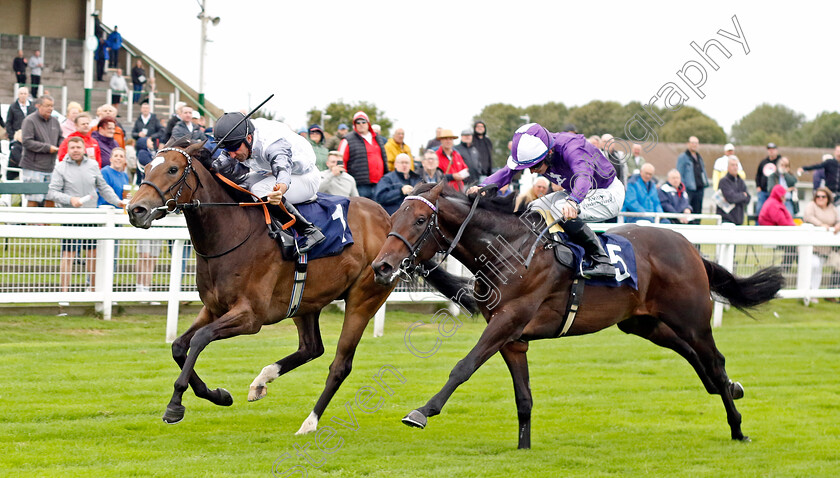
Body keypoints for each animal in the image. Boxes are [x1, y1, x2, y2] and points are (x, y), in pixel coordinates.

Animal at [129, 139, 476, 434]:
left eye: (173, 170)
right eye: (145, 168)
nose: (136, 210)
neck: (232, 233)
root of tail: (391, 223)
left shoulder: (250, 316)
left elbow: (200, 340)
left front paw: (175, 406)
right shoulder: (214, 307)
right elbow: (179, 346)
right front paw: (217, 394)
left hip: (365, 297)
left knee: (339, 364)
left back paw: (310, 422)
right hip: (305, 301)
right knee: (312, 347)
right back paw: (262, 380)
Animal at [370, 182, 784, 448]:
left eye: (420, 221)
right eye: (393, 216)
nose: (381, 266)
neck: (511, 250)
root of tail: (689, 247)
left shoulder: (508, 321)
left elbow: (463, 366)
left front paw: (422, 411)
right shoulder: (512, 339)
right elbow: (523, 397)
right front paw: (523, 448)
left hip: (692, 318)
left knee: (714, 358)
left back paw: (737, 426)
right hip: (643, 323)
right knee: (693, 354)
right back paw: (727, 387)